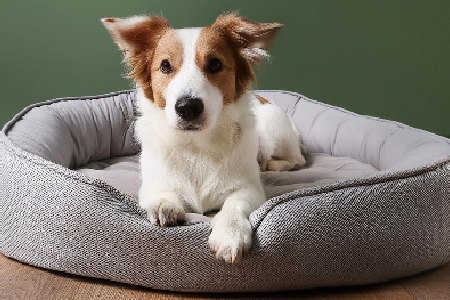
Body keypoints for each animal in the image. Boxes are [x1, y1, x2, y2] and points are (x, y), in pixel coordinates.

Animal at [102, 12, 306, 262]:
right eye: (165, 66)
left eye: (215, 64)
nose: (188, 107)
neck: (196, 144)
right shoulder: (150, 186)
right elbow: (160, 194)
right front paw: (165, 205)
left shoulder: (251, 190)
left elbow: (234, 203)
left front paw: (230, 233)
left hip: (274, 130)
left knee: (297, 160)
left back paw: (271, 164)